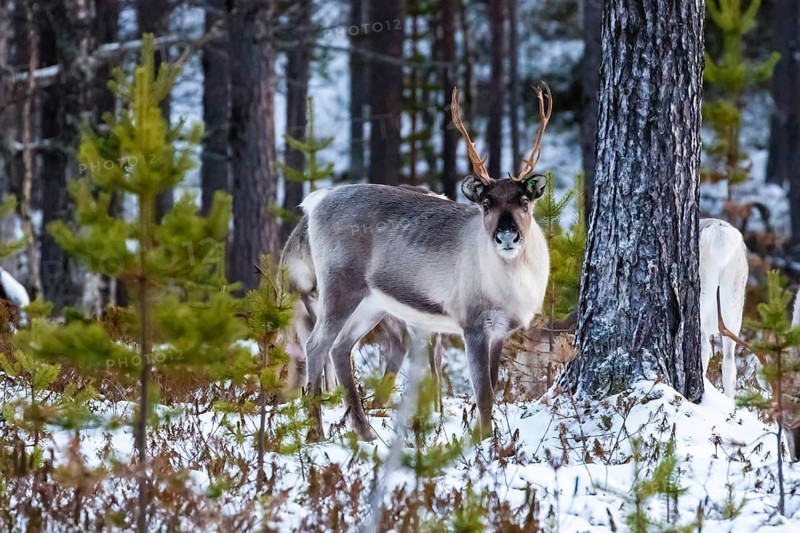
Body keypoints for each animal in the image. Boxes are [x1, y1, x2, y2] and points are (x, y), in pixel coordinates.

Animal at [282, 85, 553, 441]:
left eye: (524, 201)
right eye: (486, 203)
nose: (506, 235)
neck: (512, 287)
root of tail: (316, 201)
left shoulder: (500, 331)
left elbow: (493, 388)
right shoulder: (472, 322)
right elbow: (483, 393)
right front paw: (482, 442)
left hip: (372, 304)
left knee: (341, 348)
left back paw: (365, 431)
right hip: (338, 286)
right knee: (316, 345)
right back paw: (317, 432)